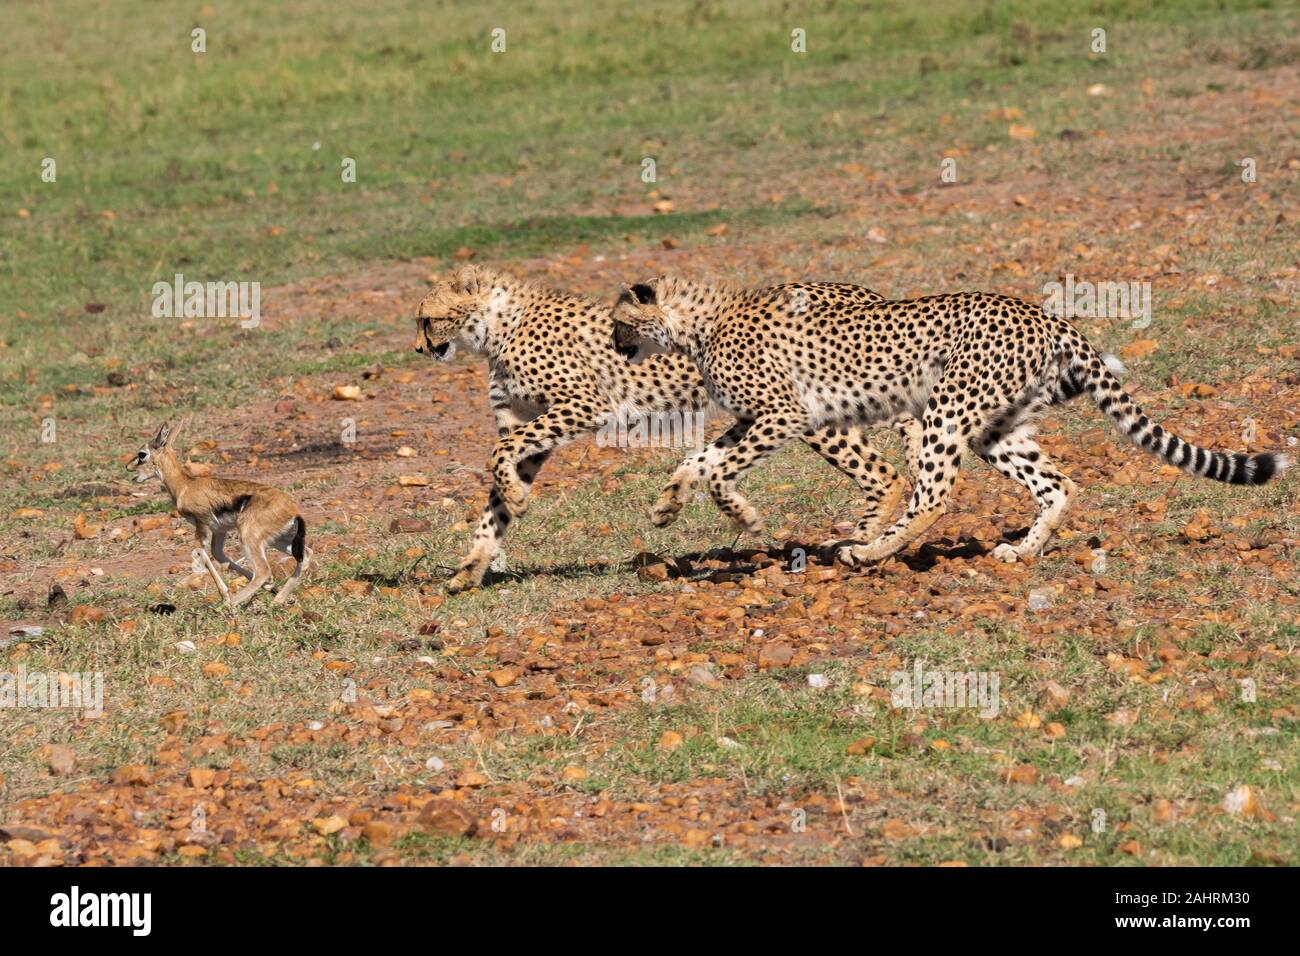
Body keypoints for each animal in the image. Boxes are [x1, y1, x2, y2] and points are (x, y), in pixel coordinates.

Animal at [410, 264, 920, 590]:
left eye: (427, 319)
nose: (419, 349)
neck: (498, 325)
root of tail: (861, 291)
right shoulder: (529, 426)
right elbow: (493, 501)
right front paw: (471, 567)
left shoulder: (585, 404)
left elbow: (500, 458)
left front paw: (516, 500)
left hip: (815, 414)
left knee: (885, 474)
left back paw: (862, 541)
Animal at [611, 277, 1289, 567]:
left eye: (619, 321)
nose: (617, 347)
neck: (698, 323)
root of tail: (1040, 313)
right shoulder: (761, 417)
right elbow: (698, 458)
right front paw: (668, 505)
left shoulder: (785, 414)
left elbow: (719, 469)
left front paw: (741, 515)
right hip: (996, 429)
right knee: (1058, 484)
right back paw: (1023, 549)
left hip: (946, 413)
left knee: (932, 492)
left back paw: (871, 550)